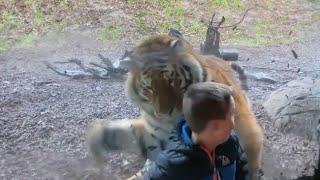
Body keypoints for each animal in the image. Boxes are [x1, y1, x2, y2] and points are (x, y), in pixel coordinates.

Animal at [86, 34, 264, 179]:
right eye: (149, 88)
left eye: (171, 80)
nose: (164, 113)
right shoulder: (158, 137)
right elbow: (131, 134)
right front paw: (98, 137)